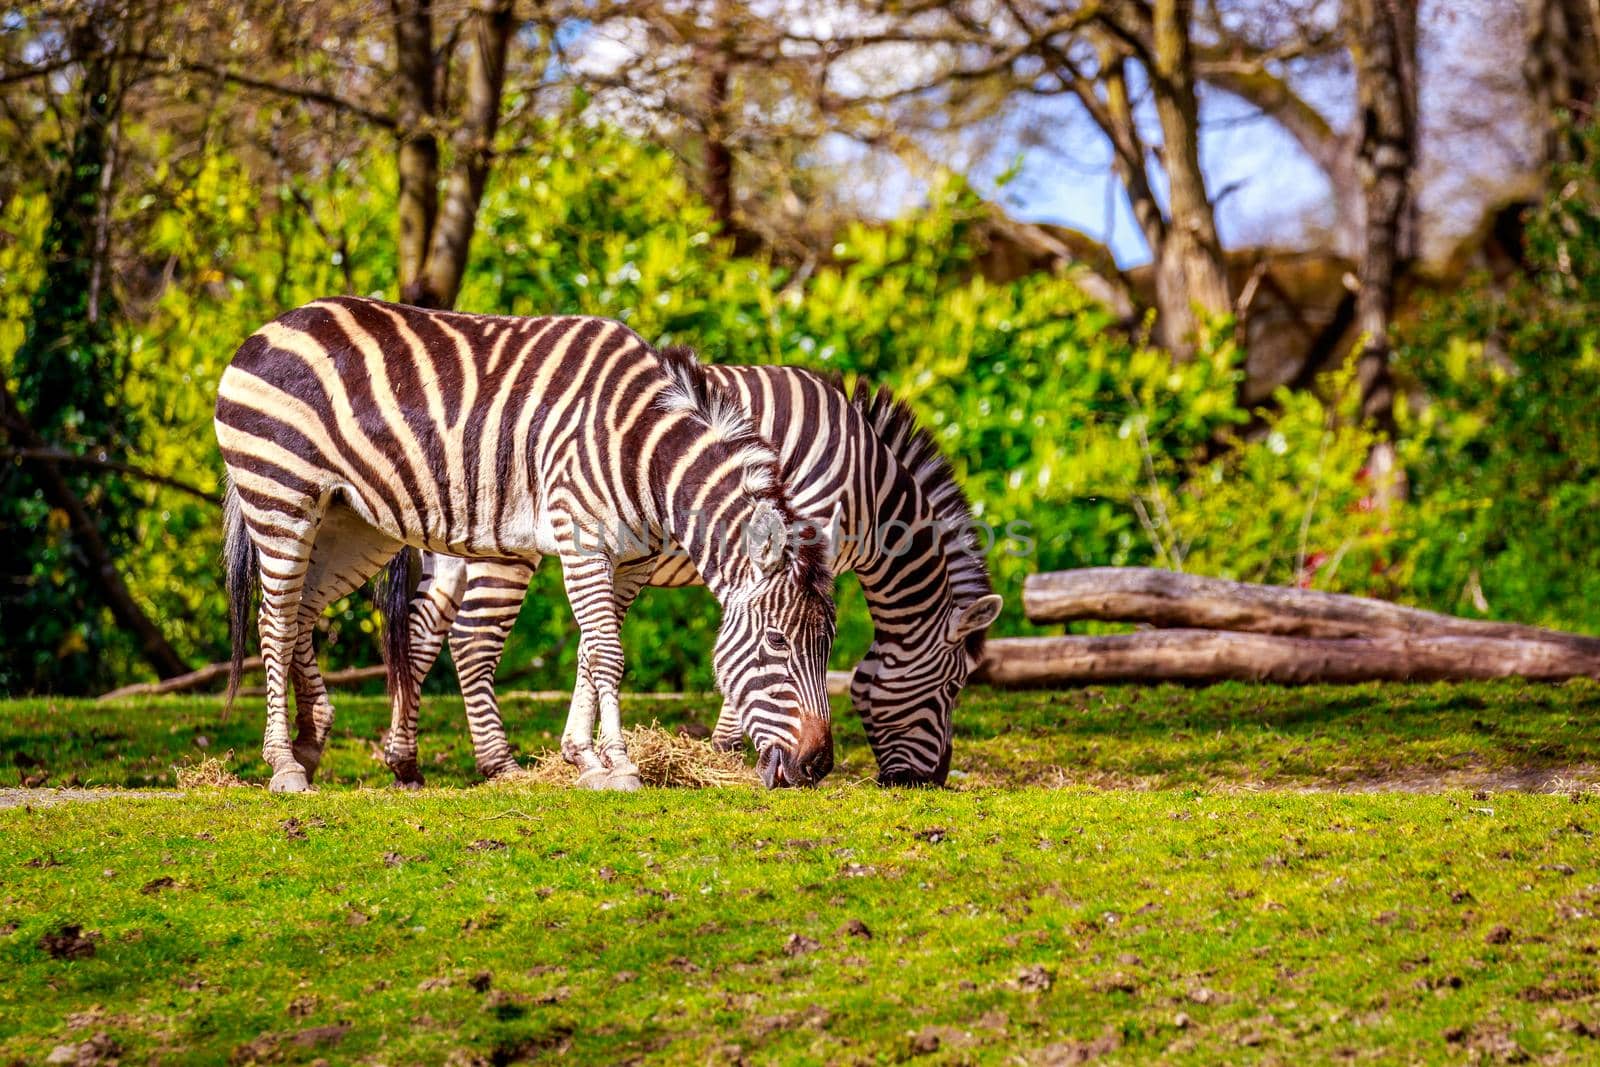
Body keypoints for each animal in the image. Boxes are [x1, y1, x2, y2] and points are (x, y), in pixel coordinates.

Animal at [214, 294, 838, 793]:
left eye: (827, 646)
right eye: (778, 643)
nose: (818, 767)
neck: (643, 451)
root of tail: (270, 327)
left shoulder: (630, 560)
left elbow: (590, 652)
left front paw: (585, 759)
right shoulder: (583, 539)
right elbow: (607, 654)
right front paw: (619, 766)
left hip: (352, 524)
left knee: (301, 611)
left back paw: (311, 741)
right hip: (281, 494)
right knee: (275, 620)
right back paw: (284, 766)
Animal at [382, 363, 998, 790]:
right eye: (953, 688)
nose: (927, 783)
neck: (869, 486)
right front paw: (729, 750)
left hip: (451, 547)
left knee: (419, 634)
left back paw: (404, 761)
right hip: (502, 544)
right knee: (471, 642)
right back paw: (498, 764)